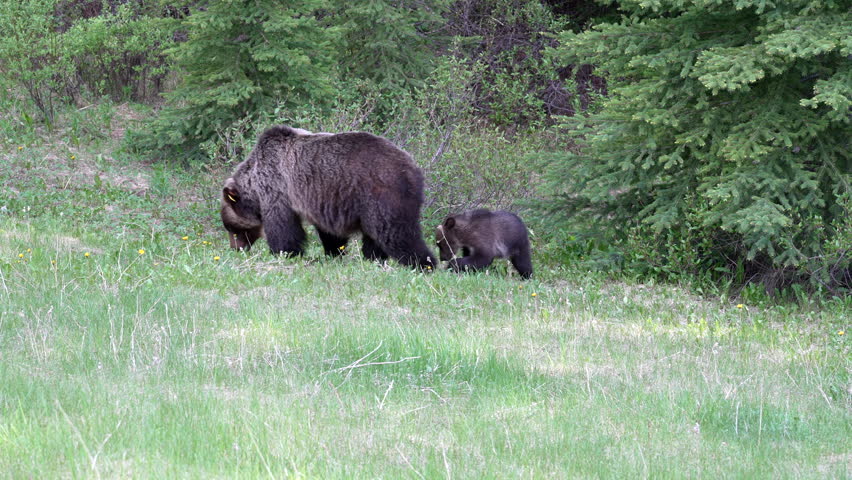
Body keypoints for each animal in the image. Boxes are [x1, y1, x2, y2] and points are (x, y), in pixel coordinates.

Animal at [221, 125, 432, 268]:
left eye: (232, 229)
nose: (236, 248)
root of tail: (414, 170)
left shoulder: (278, 187)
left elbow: (283, 227)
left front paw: (284, 252)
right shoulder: (323, 200)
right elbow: (330, 233)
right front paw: (334, 252)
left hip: (382, 194)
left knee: (396, 233)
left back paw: (425, 263)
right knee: (375, 237)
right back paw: (373, 258)